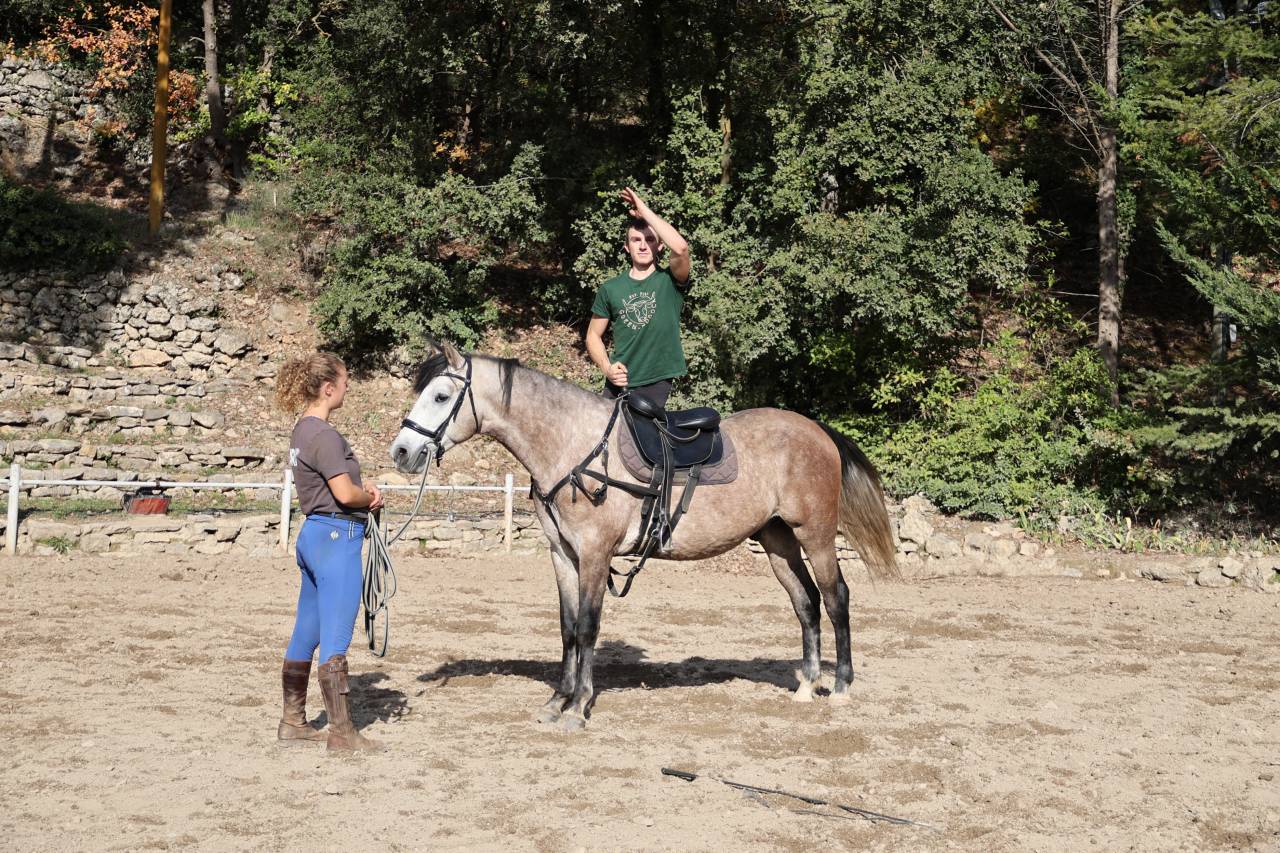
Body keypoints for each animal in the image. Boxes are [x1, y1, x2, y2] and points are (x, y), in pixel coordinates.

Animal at [390, 343, 897, 731]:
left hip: (816, 536)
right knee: (805, 603)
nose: (401, 451)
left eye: (440, 396)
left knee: (835, 598)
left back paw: (841, 686)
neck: (573, 447)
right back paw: (807, 684)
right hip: (777, 542)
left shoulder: (595, 555)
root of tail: (817, 431)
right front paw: (557, 700)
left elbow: (588, 628)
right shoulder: (563, 555)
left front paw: (578, 707)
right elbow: (567, 629)